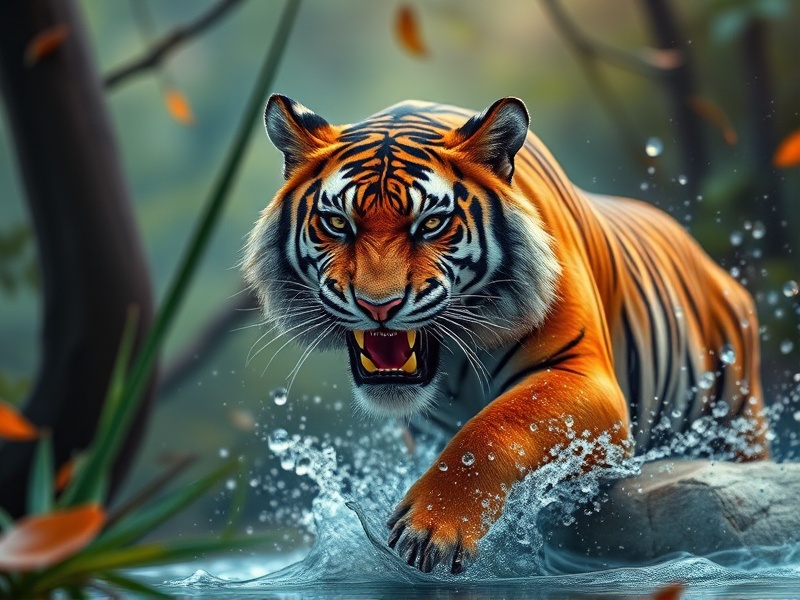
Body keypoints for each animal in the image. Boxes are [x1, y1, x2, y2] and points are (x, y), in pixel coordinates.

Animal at [243, 95, 769, 574]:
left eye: (431, 224)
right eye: (337, 223)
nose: (379, 306)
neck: (452, 361)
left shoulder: (582, 375)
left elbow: (492, 428)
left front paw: (432, 528)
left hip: (741, 422)